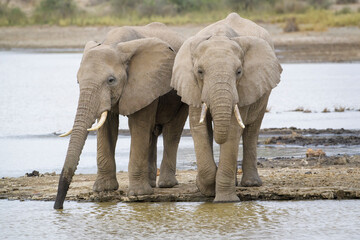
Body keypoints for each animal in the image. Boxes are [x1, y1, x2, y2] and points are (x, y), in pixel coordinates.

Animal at [53, 23, 190, 210]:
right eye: (78, 81)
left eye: (111, 80)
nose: (58, 207)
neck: (114, 45)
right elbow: (107, 127)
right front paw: (103, 189)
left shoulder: (145, 81)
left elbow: (139, 125)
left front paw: (138, 194)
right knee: (152, 134)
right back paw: (152, 184)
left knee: (172, 132)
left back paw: (165, 185)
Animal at [171, 12, 282, 202]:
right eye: (199, 71)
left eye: (239, 72)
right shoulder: (192, 85)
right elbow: (199, 127)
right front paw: (206, 188)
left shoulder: (244, 87)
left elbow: (233, 130)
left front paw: (225, 201)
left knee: (252, 130)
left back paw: (251, 184)